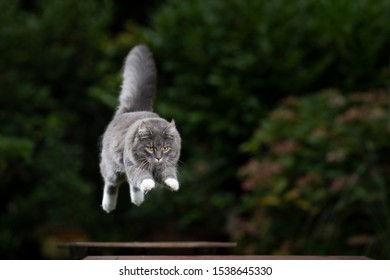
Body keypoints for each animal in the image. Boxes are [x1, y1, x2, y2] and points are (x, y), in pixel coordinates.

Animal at [99, 44, 181, 213]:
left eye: (165, 148)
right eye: (150, 148)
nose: (158, 157)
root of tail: (133, 109)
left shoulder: (167, 164)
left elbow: (168, 174)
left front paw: (173, 184)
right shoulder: (134, 165)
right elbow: (141, 177)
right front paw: (148, 184)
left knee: (131, 184)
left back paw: (137, 200)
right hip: (112, 168)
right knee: (111, 183)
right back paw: (108, 206)